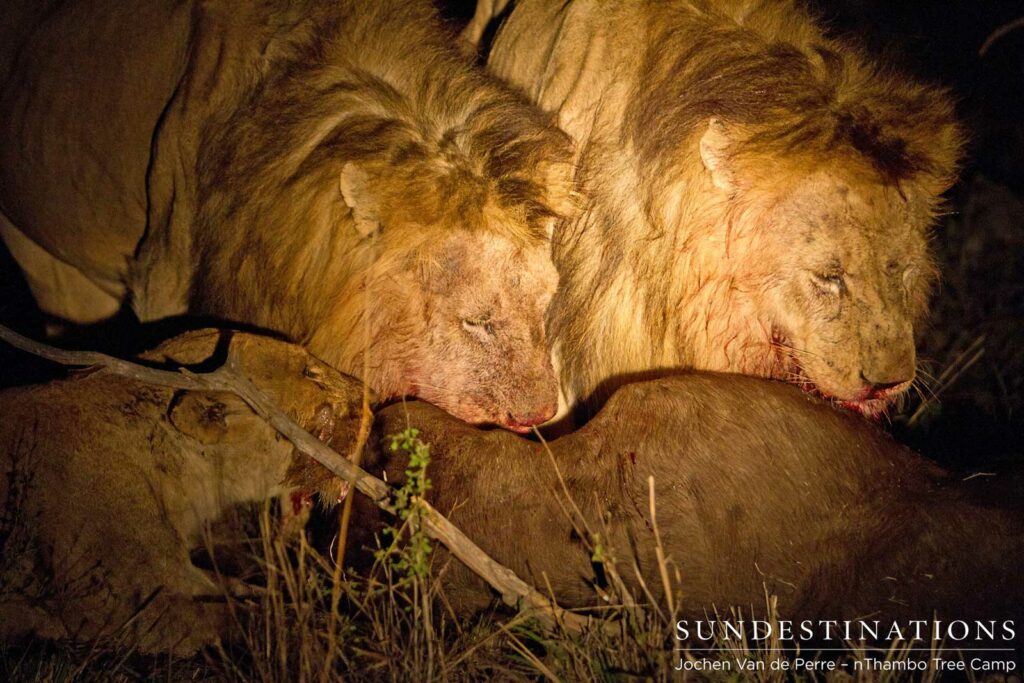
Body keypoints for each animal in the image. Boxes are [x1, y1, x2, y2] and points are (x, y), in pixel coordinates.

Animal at [0, 330, 363, 654]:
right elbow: (242, 619)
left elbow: (242, 589)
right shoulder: (121, 605)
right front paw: (326, 638)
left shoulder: (183, 573)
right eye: (309, 373)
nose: (368, 395)